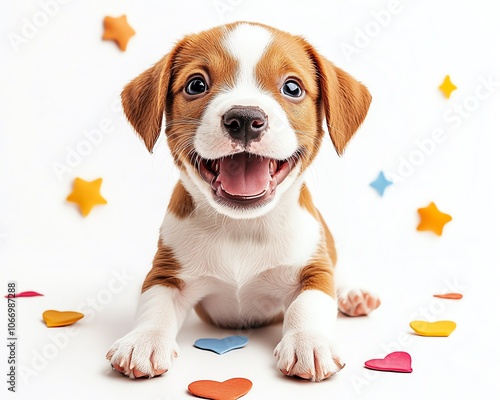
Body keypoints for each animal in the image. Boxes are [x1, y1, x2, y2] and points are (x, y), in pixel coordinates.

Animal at [105, 21, 378, 382]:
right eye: (196, 84)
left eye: (292, 87)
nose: (245, 118)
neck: (243, 226)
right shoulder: (166, 273)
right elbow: (154, 303)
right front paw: (144, 339)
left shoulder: (314, 268)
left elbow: (311, 301)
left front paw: (309, 341)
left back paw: (354, 294)